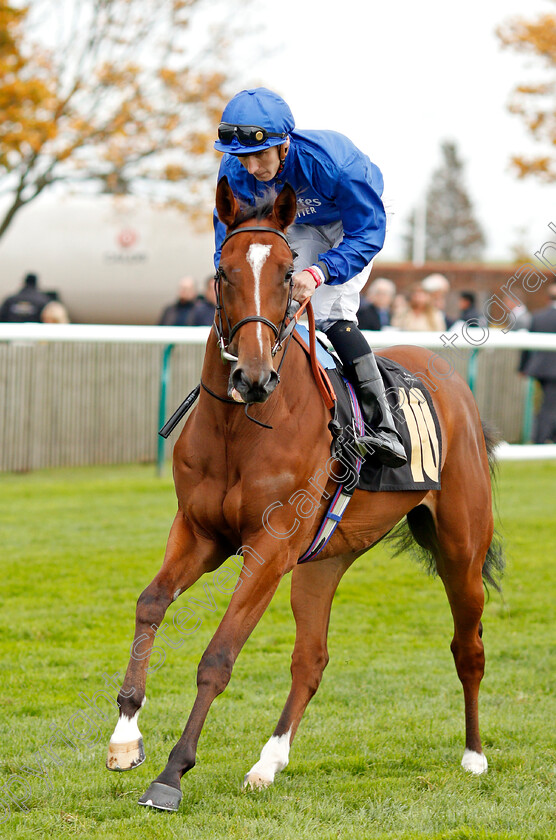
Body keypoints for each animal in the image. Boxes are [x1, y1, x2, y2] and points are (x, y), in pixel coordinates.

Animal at [105, 179, 504, 812]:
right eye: (222, 271)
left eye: (289, 272)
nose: (253, 377)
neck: (241, 428)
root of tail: (450, 380)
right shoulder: (199, 532)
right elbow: (151, 603)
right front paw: (125, 737)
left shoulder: (269, 549)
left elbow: (218, 656)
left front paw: (171, 774)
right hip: (324, 560)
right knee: (311, 659)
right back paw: (267, 763)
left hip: (461, 550)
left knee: (470, 648)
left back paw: (474, 756)